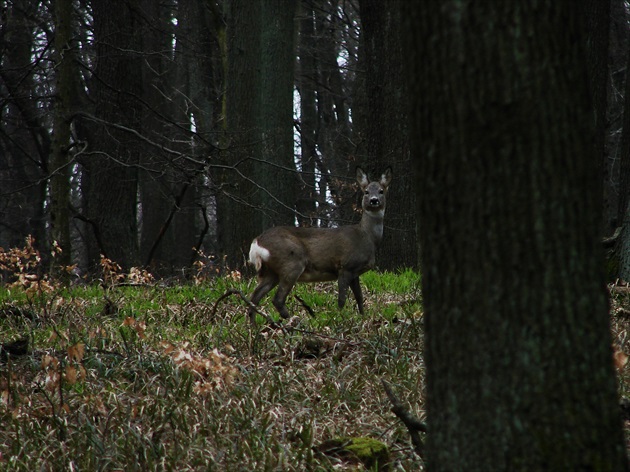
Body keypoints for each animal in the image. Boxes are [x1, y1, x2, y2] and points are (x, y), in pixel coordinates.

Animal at [248, 166, 392, 320]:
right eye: (366, 191)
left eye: (381, 191)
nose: (374, 200)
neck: (366, 237)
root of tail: (257, 242)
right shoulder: (345, 266)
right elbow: (342, 299)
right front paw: (340, 318)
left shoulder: (355, 272)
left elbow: (359, 298)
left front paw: (362, 317)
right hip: (291, 262)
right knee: (277, 299)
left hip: (272, 272)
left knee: (254, 298)